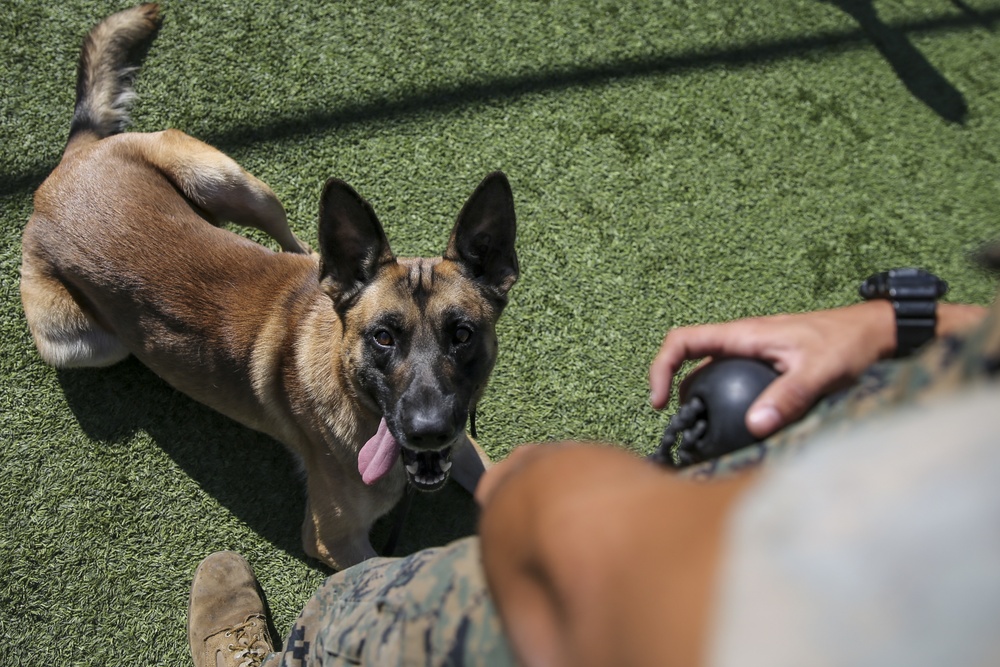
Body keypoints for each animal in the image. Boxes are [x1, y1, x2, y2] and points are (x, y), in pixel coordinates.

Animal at [19, 3, 520, 568]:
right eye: (383, 337)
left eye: (463, 334)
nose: (428, 432)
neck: (347, 385)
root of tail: (69, 164)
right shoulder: (335, 540)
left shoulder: (466, 449)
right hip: (83, 341)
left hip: (231, 183)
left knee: (293, 241)